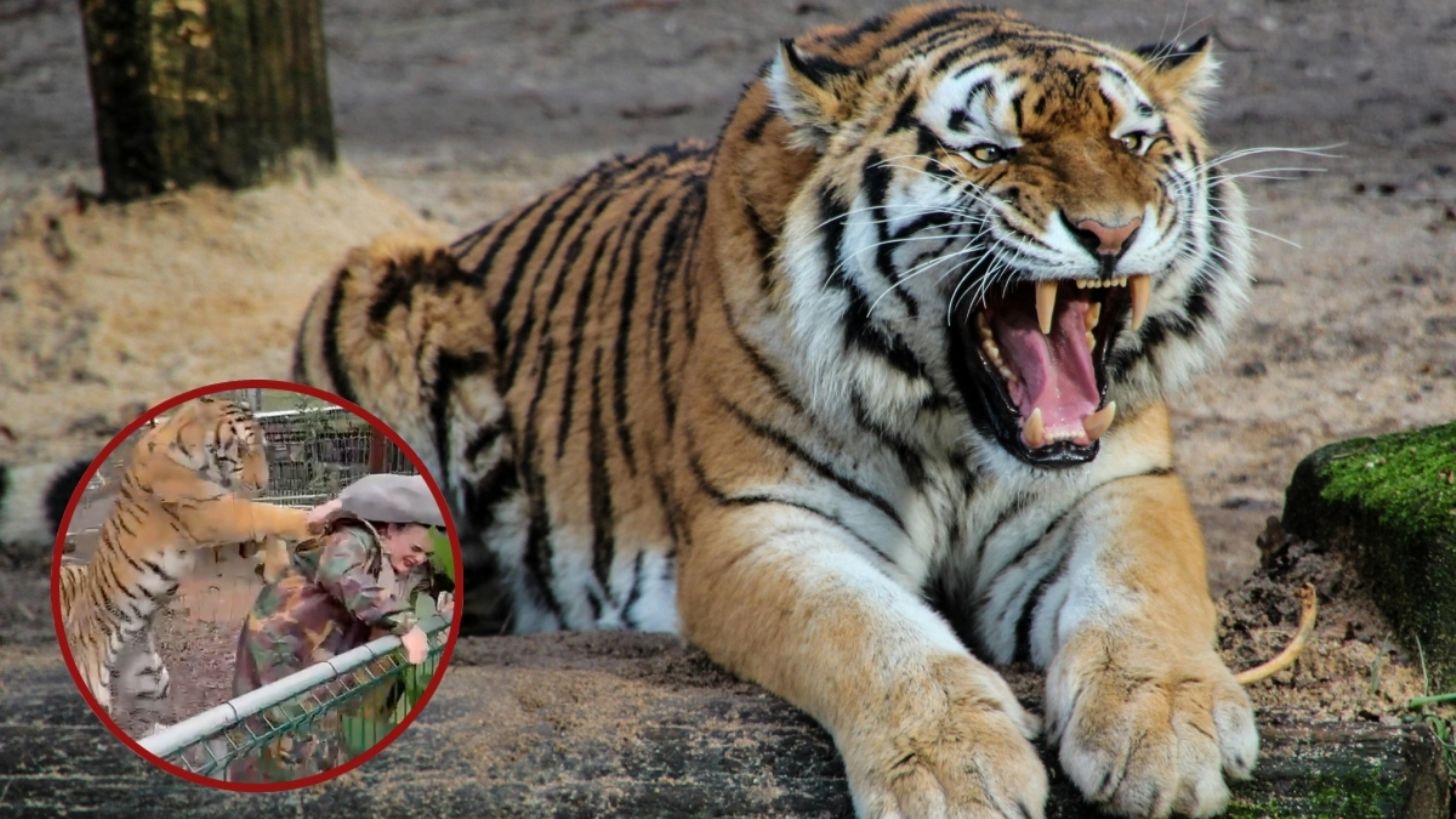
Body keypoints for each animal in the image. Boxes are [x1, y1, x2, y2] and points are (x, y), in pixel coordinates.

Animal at [57, 396, 319, 718]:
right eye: (242, 449)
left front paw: (273, 564)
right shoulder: (209, 512)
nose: (261, 485)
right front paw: (308, 520)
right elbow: (264, 512)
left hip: (153, 681)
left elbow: (261, 525)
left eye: (262, 448)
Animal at [294, 5, 1258, 817]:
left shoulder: (1122, 483)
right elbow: (865, 628)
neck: (956, 428)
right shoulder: (758, 522)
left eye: (1134, 140)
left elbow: (1145, 585)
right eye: (988, 152)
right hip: (381, 273)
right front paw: (956, 768)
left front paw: (1165, 729)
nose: (1110, 231)